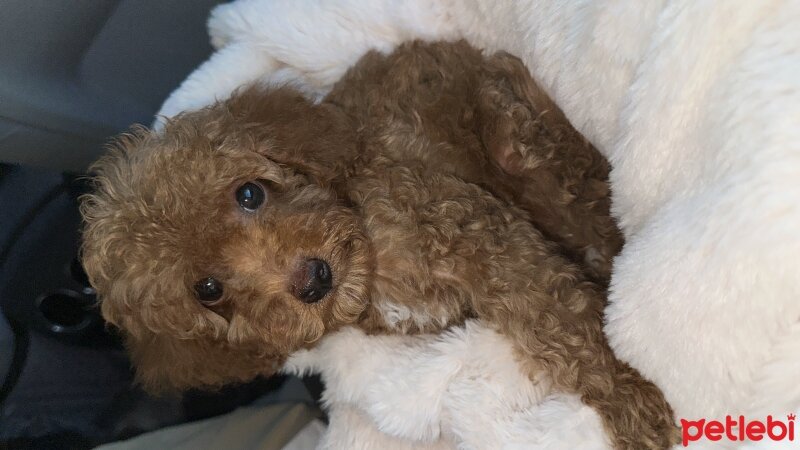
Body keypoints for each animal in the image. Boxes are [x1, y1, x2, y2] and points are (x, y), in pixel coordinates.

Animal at [83, 40, 676, 448]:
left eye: (249, 193)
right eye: (207, 290)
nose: (312, 280)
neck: (371, 265)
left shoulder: (477, 230)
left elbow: (565, 319)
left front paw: (638, 403)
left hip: (520, 134)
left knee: (577, 194)